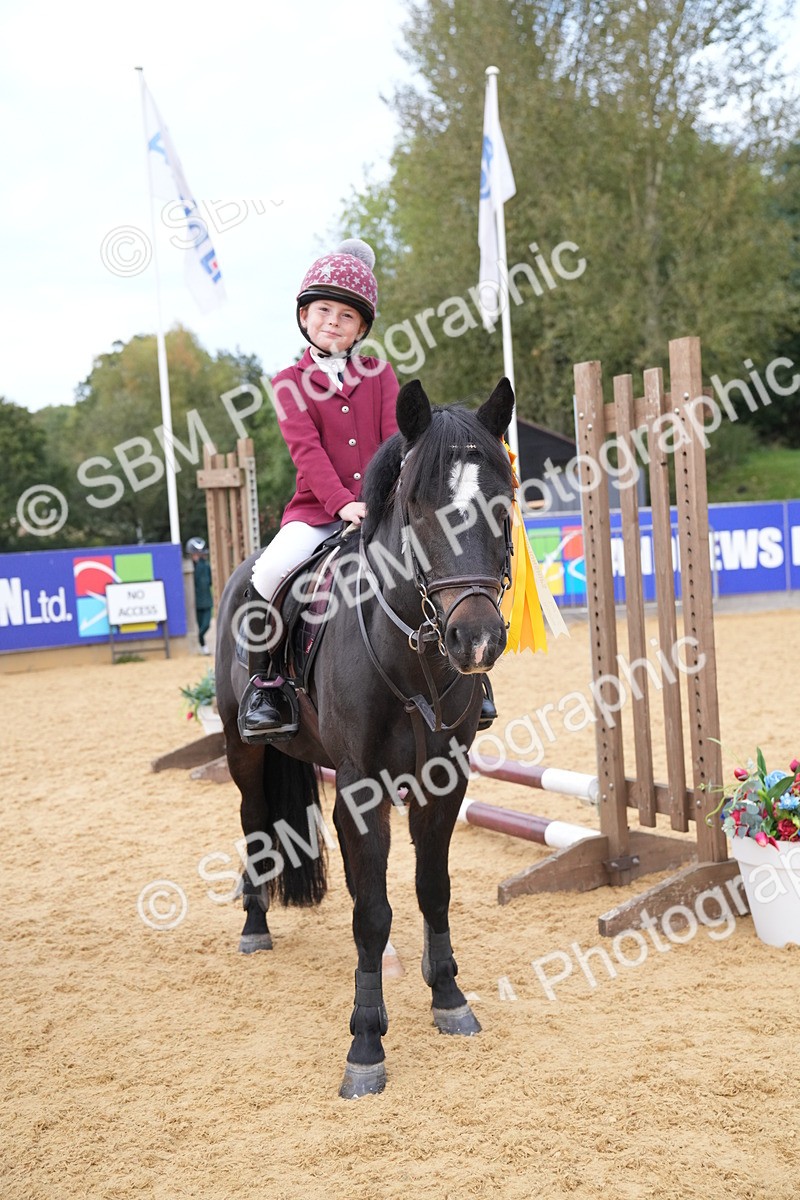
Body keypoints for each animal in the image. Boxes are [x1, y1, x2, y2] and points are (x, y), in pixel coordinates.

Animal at [215, 377, 515, 1098]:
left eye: (504, 504)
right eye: (419, 507)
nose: (477, 640)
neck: (413, 653)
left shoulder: (444, 781)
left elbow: (431, 888)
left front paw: (448, 997)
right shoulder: (360, 786)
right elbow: (373, 912)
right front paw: (366, 1043)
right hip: (243, 751)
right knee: (254, 821)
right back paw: (255, 924)